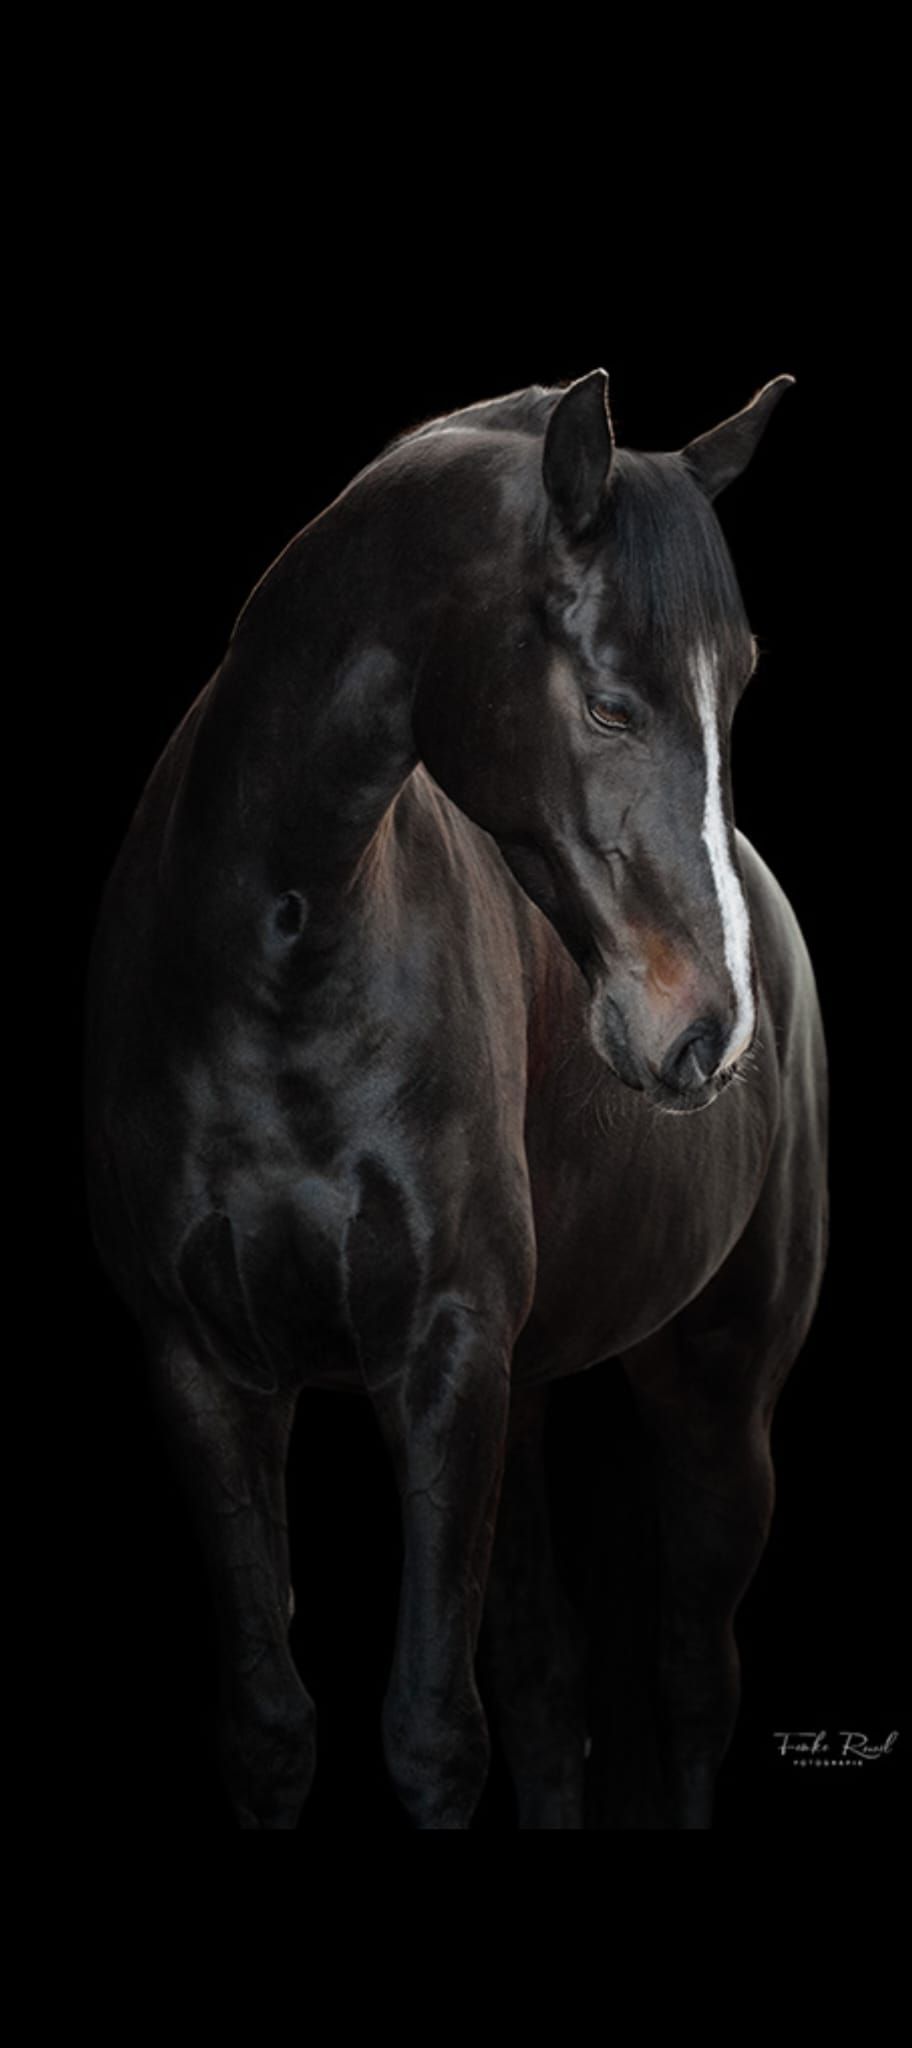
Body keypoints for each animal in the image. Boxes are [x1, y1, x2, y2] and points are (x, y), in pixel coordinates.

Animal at [83, 367, 829, 1830]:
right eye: (611, 705)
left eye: (739, 688)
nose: (708, 1032)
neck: (278, 963)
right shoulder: (202, 1367)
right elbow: (274, 1728)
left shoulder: (441, 1357)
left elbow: (434, 1733)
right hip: (526, 1395)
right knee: (548, 1682)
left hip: (716, 1398)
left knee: (691, 1678)